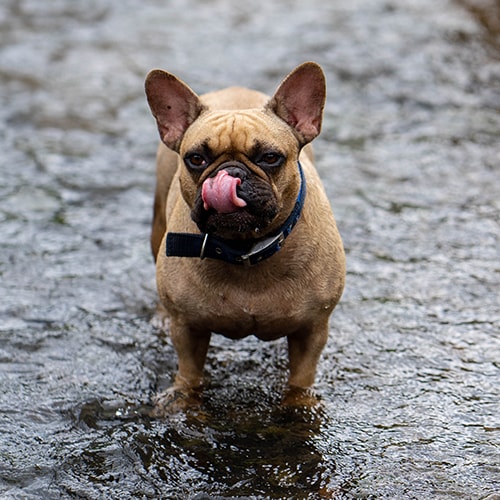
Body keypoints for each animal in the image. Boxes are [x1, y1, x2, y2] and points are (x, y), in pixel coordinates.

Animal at [146, 61, 344, 414]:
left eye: (270, 157)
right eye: (195, 159)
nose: (232, 174)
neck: (246, 250)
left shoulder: (313, 329)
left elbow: (301, 378)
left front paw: (298, 404)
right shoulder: (188, 328)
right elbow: (189, 374)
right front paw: (183, 398)